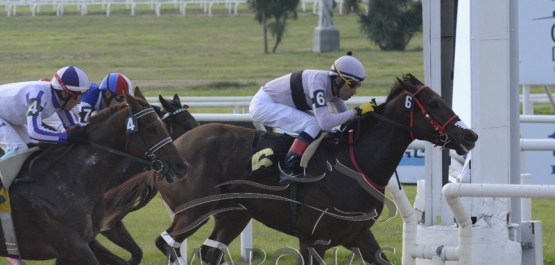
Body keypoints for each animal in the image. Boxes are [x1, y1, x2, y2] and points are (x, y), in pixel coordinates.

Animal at [107, 73, 478, 262]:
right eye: (434, 103)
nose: (470, 135)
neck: (355, 164)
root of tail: (173, 150)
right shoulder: (315, 238)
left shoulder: (358, 236)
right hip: (193, 209)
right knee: (168, 243)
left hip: (233, 215)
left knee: (210, 251)